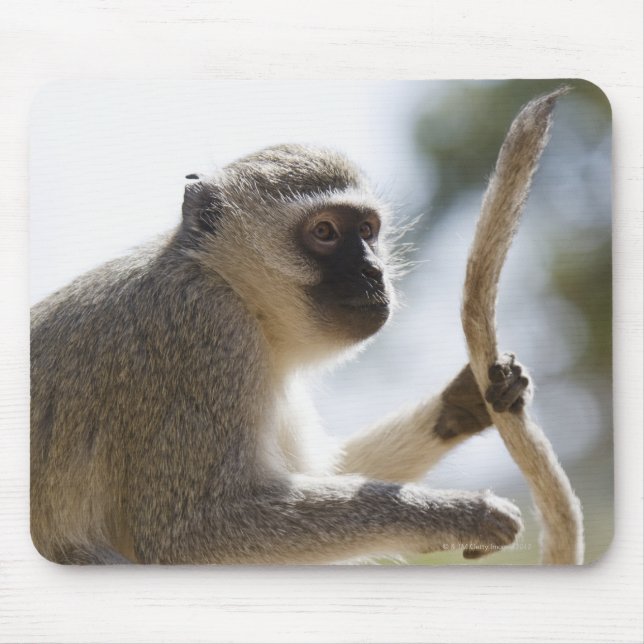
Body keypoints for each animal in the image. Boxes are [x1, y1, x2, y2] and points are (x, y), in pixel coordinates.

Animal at [30, 143, 532, 564]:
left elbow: (323, 469)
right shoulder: (203, 334)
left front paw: (466, 400)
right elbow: (190, 532)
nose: (374, 271)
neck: (227, 282)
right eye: (325, 231)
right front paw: (458, 514)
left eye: (368, 231)